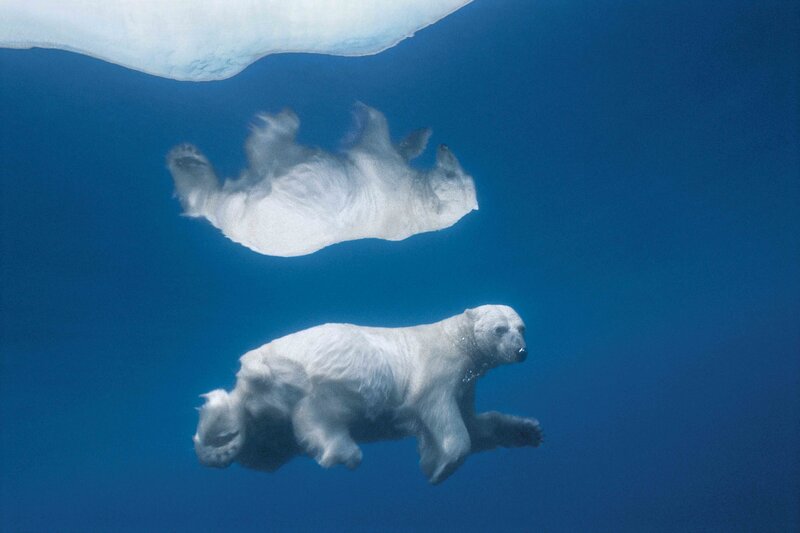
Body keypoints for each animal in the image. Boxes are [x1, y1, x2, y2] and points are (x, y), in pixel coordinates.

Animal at [167, 103, 478, 257]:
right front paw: (421, 136)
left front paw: (363, 112)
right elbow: (398, 148)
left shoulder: (383, 172)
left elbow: (375, 134)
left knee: (260, 160)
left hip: (260, 205)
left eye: (451, 174)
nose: (445, 148)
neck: (414, 208)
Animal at [194, 305, 542, 484]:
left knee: (262, 444)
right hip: (317, 377)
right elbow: (442, 415)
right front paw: (439, 467)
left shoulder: (466, 383)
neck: (455, 338)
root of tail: (249, 372)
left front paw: (528, 431)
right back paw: (343, 451)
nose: (521, 352)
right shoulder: (438, 369)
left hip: (269, 415)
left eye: (522, 327)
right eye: (500, 329)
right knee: (319, 414)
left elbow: (477, 424)